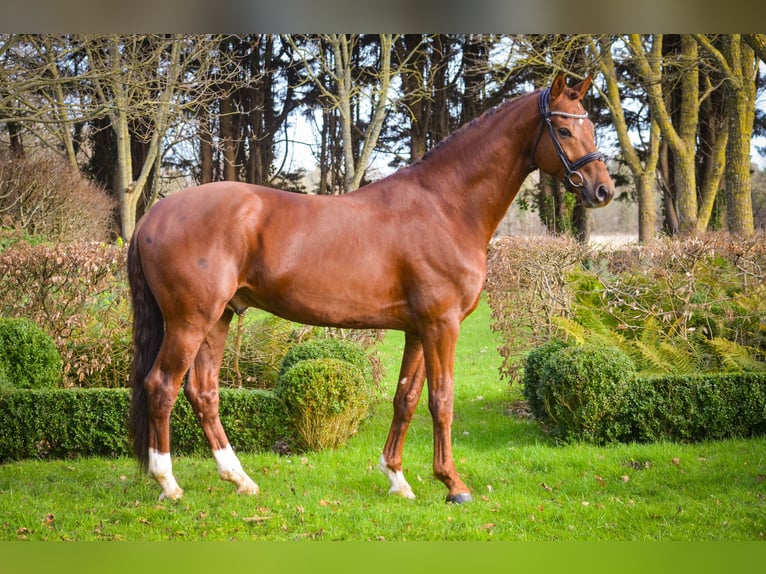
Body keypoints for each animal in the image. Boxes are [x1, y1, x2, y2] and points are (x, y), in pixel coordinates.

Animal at [129, 72, 616, 504]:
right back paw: (169, 484)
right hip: (189, 321)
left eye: (591, 125)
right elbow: (442, 400)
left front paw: (397, 478)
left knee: (203, 393)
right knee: (162, 387)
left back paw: (240, 480)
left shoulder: (418, 329)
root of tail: (154, 215)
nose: (603, 190)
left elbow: (406, 399)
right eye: (564, 128)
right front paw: (453, 485)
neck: (445, 206)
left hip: (221, 317)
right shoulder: (443, 325)